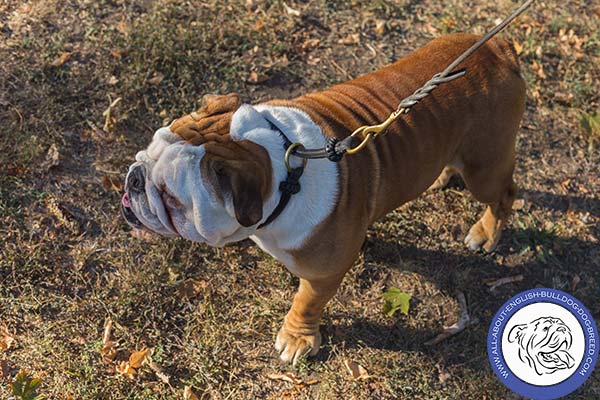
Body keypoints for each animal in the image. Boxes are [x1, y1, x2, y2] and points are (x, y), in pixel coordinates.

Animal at [120, 33, 524, 366]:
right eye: (147, 151)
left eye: (170, 196)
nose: (135, 178)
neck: (285, 171)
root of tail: (497, 47)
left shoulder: (324, 274)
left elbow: (306, 303)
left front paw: (296, 338)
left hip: (485, 168)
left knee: (504, 194)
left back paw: (487, 233)